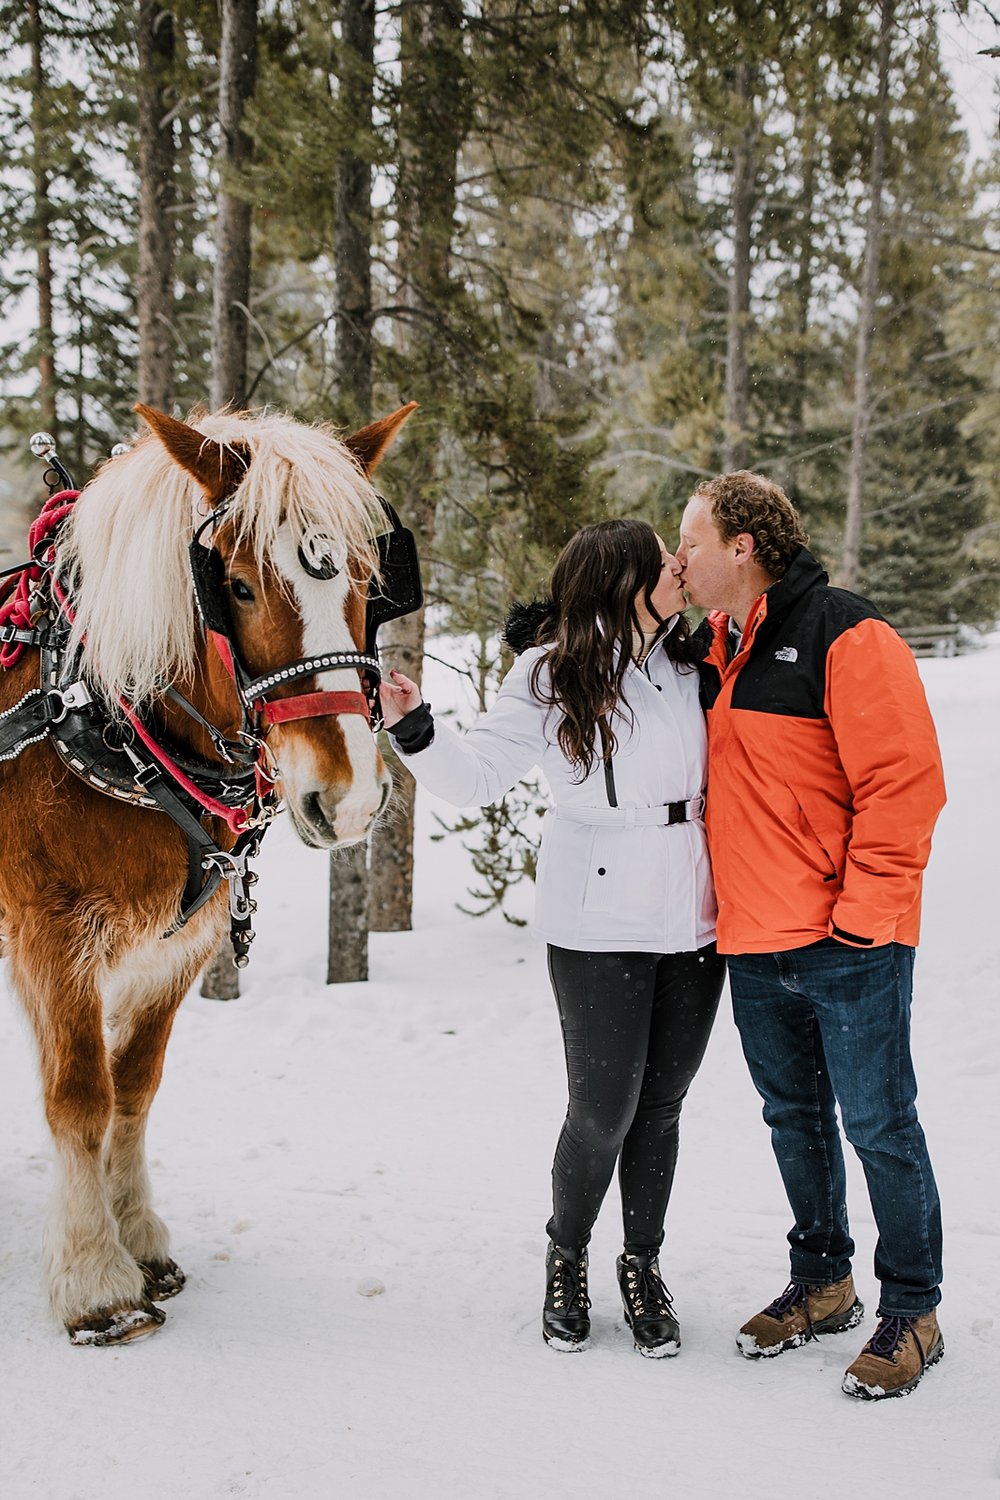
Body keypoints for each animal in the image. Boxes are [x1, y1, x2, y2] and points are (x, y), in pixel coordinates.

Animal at [0, 402, 419, 1350]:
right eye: (238, 585)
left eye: (369, 577)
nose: (348, 798)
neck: (102, 720)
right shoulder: (51, 936)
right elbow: (79, 1095)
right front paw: (96, 1281)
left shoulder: (178, 946)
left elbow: (133, 1088)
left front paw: (140, 1237)